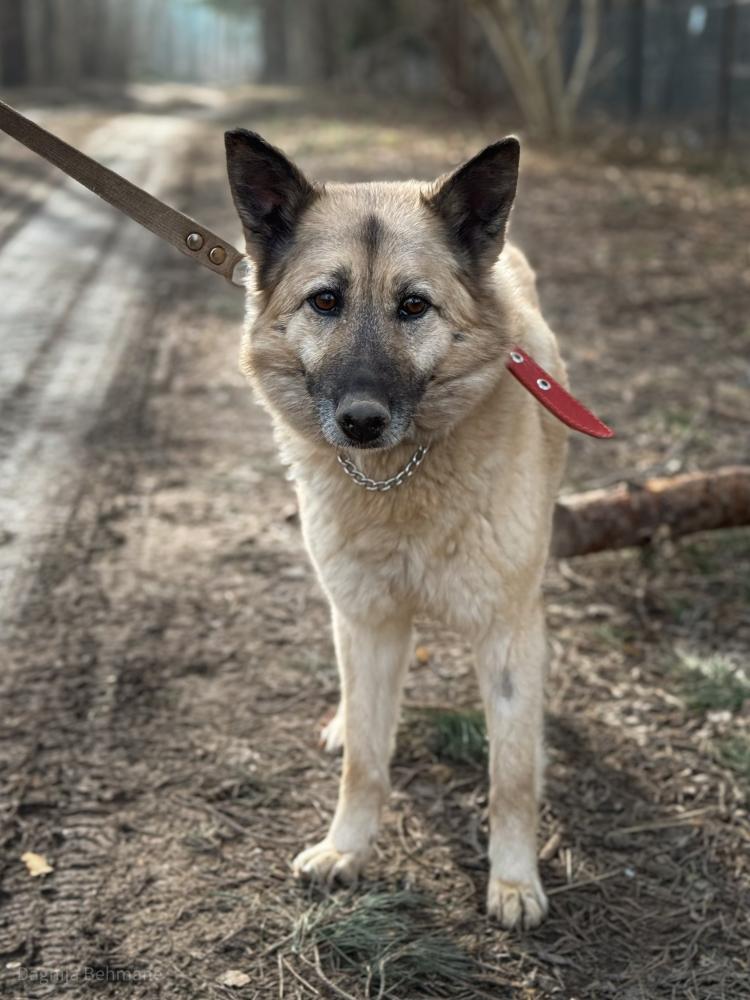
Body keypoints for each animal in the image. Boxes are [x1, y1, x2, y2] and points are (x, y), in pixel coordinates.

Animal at [225, 129, 568, 929]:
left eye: (414, 306)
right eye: (326, 301)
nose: (361, 421)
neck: (400, 478)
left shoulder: (509, 632)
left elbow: (511, 774)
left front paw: (513, 879)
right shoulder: (368, 620)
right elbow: (366, 762)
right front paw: (346, 848)